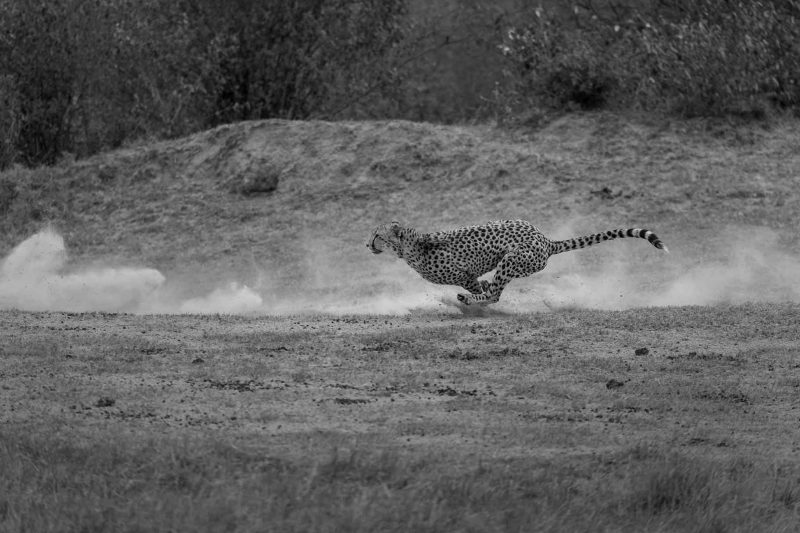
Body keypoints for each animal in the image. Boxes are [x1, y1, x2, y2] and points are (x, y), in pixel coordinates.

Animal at [368, 219, 668, 304]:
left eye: (377, 235)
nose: (367, 243)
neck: (412, 245)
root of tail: (546, 240)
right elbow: (483, 284)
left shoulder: (464, 275)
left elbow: (480, 287)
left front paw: (476, 295)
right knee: (495, 290)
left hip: (513, 259)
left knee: (496, 294)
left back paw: (470, 301)